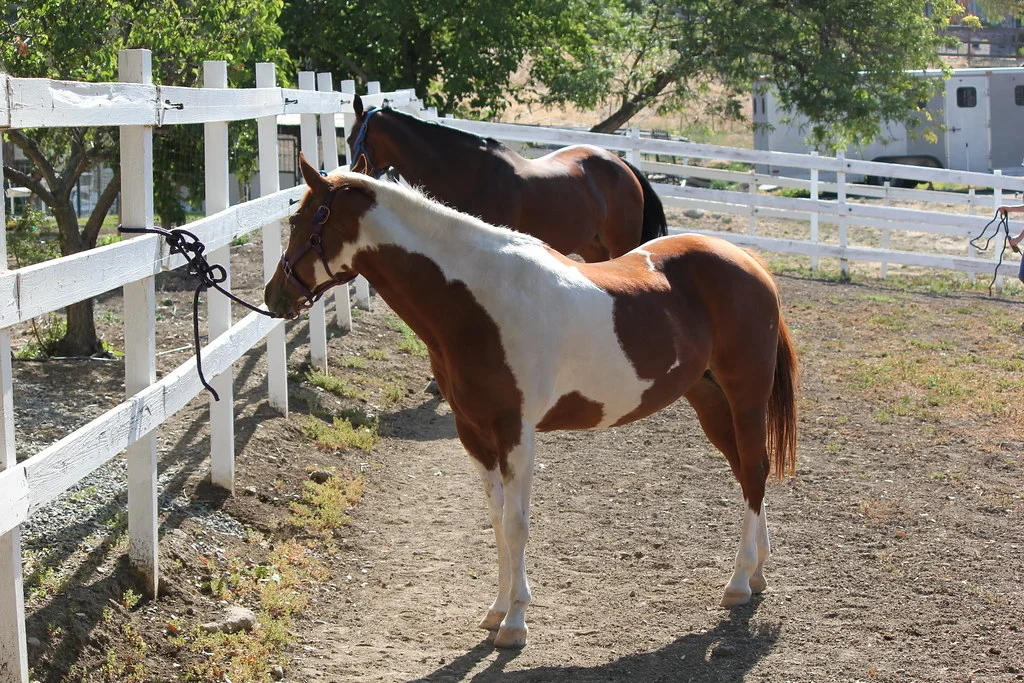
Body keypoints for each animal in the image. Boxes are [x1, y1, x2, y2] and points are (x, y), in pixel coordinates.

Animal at [265, 154, 799, 649]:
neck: (478, 303)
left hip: (745, 396)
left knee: (754, 470)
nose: (273, 296)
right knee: (747, 471)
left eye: (301, 220)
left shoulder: (515, 432)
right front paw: (497, 610)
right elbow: (498, 523)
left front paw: (516, 624)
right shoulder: (473, 433)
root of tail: (751, 264)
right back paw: (757, 574)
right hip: (708, 399)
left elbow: (517, 525)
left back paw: (737, 583)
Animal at [345, 95, 667, 262]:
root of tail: (622, 165)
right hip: (591, 245)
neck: (469, 174)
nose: (351, 174)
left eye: (350, 139)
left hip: (622, 242)